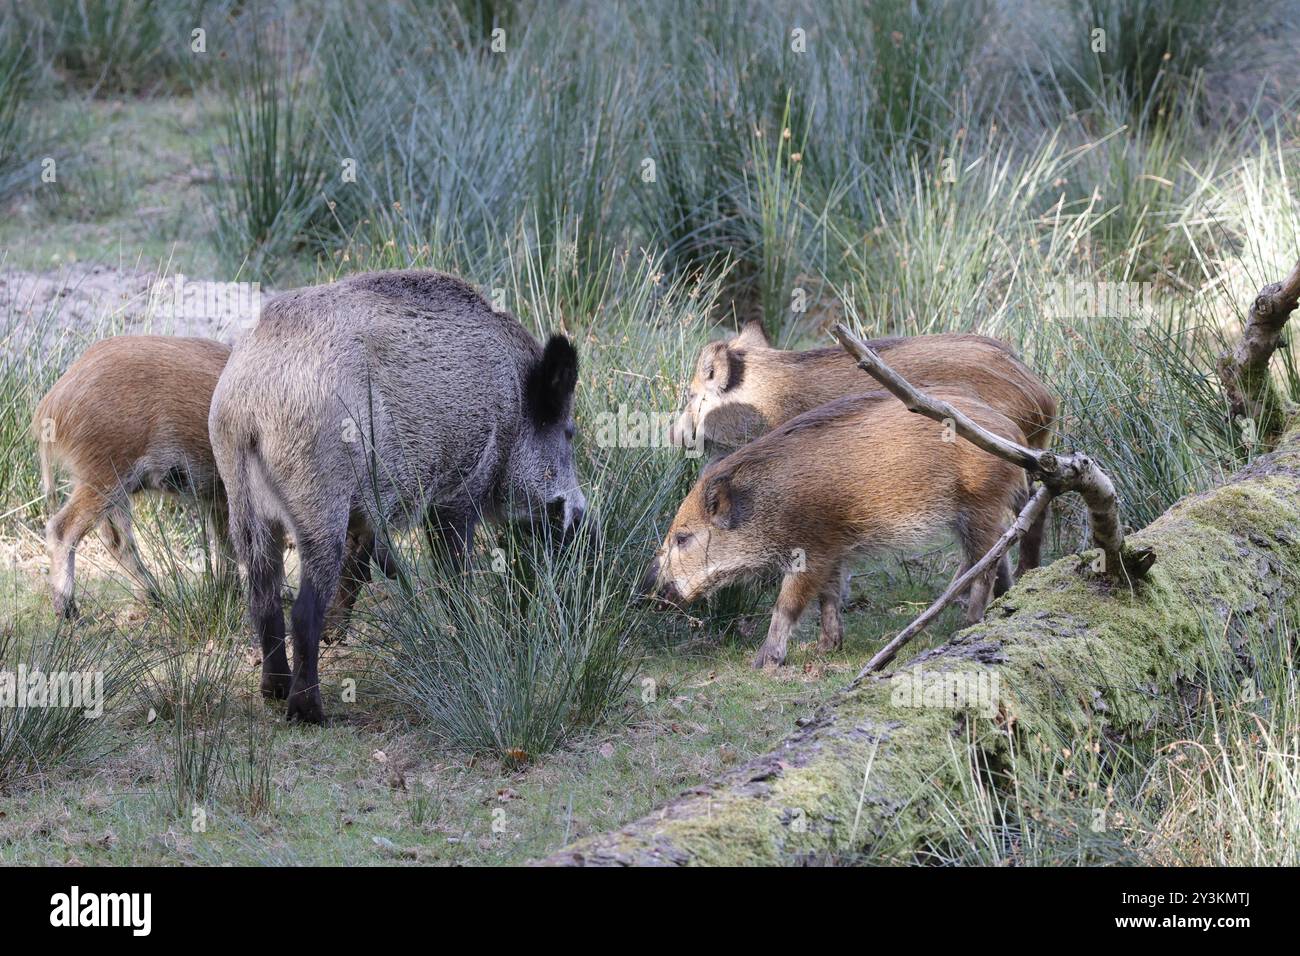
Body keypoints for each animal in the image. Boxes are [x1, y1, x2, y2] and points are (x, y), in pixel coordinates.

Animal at [32, 335, 234, 618]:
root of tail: (50, 404)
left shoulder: (219, 500)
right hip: (106, 474)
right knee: (63, 528)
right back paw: (70, 613)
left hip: (109, 483)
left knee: (116, 539)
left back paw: (156, 598)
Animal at [208, 270, 586, 723]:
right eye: (569, 433)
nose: (584, 523)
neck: (512, 408)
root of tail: (248, 404)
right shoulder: (458, 492)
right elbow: (453, 576)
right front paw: (471, 634)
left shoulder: (368, 513)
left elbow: (361, 562)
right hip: (319, 501)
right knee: (301, 609)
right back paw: (309, 711)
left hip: (243, 503)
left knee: (262, 596)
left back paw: (274, 691)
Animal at [645, 387, 1028, 668]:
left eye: (683, 538)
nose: (647, 594)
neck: (767, 504)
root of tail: (1015, 436)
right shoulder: (831, 549)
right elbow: (828, 598)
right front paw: (825, 648)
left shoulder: (811, 551)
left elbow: (787, 604)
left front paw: (764, 662)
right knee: (991, 555)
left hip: (979, 507)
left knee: (986, 563)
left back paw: (969, 622)